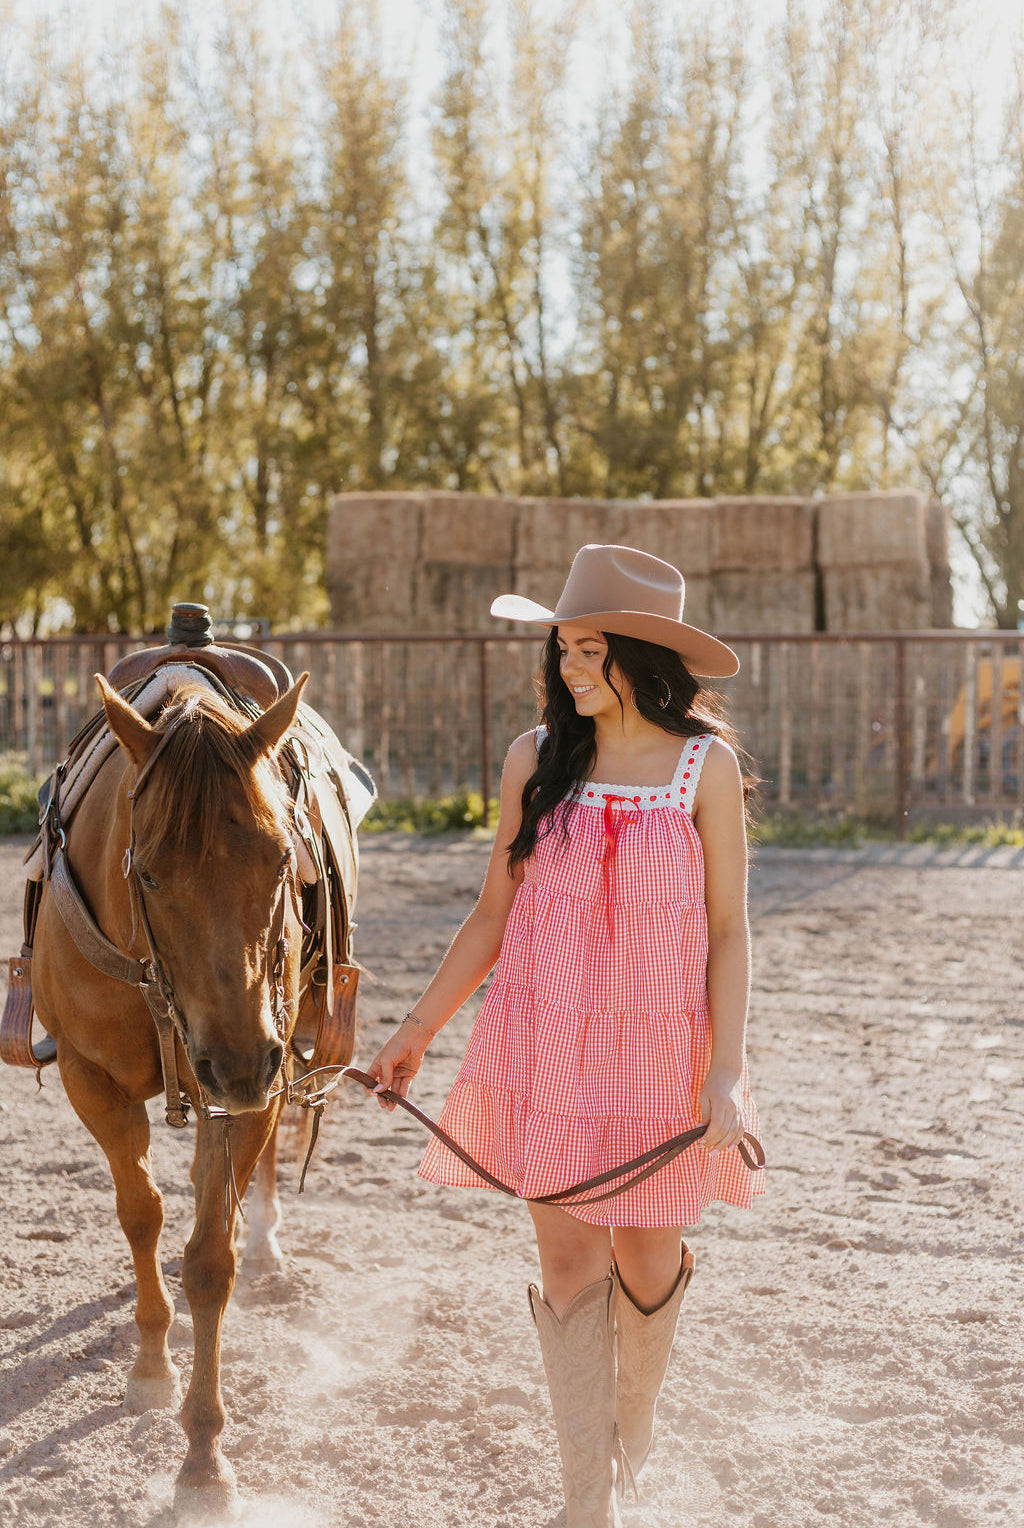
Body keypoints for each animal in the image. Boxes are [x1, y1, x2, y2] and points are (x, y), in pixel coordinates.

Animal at [29, 669, 325, 1512]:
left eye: (279, 860)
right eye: (151, 873)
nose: (240, 1061)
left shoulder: (251, 1078)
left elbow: (207, 1260)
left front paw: (202, 1455)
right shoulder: (89, 1079)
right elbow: (141, 1215)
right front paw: (153, 1364)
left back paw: (267, 1246)